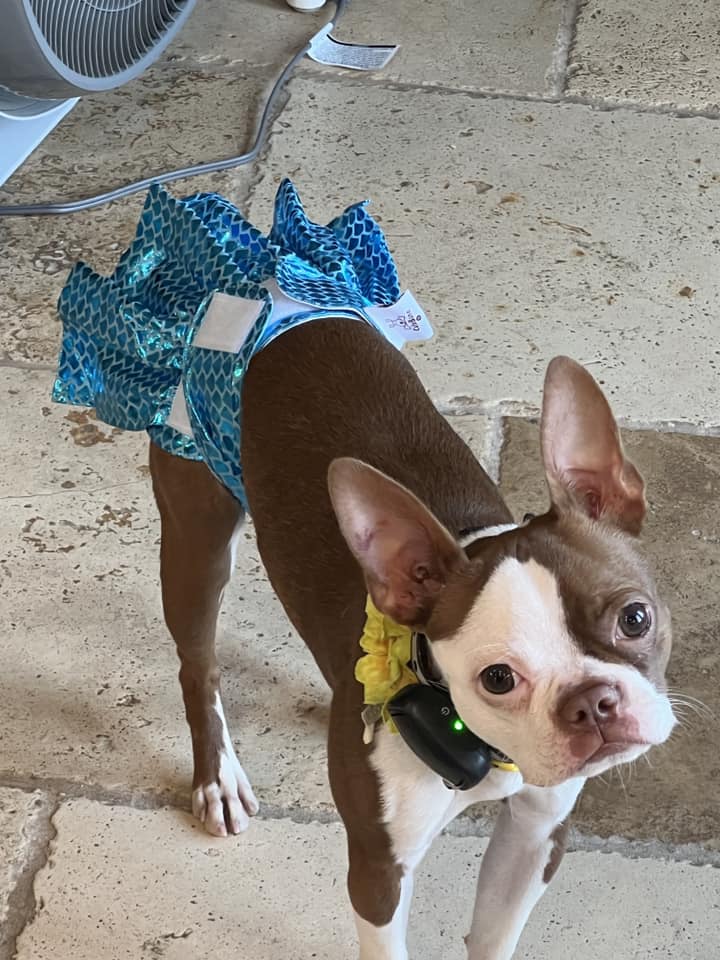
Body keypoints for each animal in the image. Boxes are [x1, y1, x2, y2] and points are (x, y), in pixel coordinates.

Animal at [148, 320, 676, 960]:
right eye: (498, 678)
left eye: (636, 619)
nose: (593, 703)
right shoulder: (380, 870)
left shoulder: (535, 834)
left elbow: (495, 937)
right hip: (196, 532)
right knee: (198, 662)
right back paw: (219, 779)